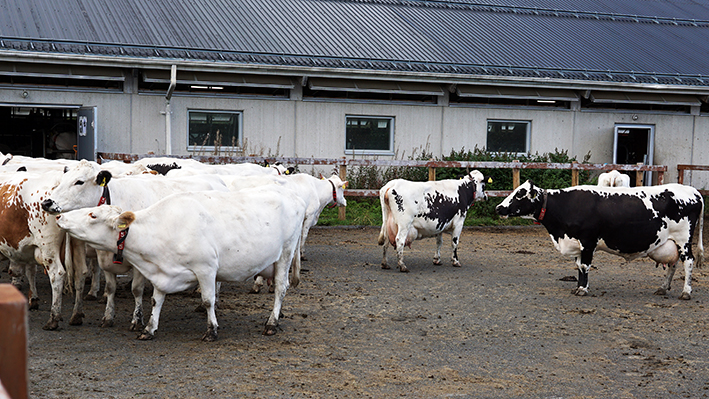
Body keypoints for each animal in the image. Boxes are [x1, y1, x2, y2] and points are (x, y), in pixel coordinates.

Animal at [41, 159, 228, 332]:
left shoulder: (140, 261)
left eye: (79, 181)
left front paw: (137, 320)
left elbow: (136, 289)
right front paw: (107, 317)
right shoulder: (105, 259)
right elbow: (110, 288)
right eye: (62, 179)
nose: (46, 203)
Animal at [56, 187, 306, 340]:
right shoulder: (160, 272)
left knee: (281, 289)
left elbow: (208, 300)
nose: (59, 216)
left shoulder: (206, 268)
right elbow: (156, 300)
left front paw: (212, 330)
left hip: (285, 253)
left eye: (93, 215)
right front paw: (149, 328)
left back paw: (271, 323)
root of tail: (293, 195)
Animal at [496, 181, 704, 300]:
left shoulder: (588, 241)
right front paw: (578, 287)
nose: (498, 208)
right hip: (671, 242)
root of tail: (692, 190)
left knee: (688, 262)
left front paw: (582, 290)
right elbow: (578, 266)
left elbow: (584, 266)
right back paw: (663, 288)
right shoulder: (577, 244)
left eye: (519, 194)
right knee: (673, 264)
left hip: (684, 240)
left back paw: (686, 292)